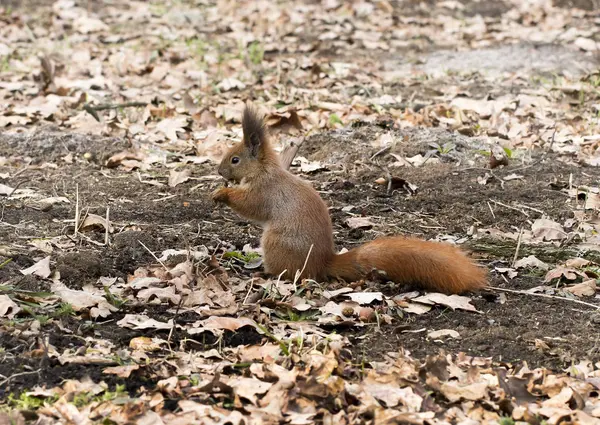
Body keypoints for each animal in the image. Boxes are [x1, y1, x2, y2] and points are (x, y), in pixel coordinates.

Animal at [211, 104, 488, 294]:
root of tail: (323, 263)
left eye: (235, 159)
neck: (263, 170)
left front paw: (221, 193)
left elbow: (250, 206)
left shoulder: (264, 190)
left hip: (277, 243)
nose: (220, 171)